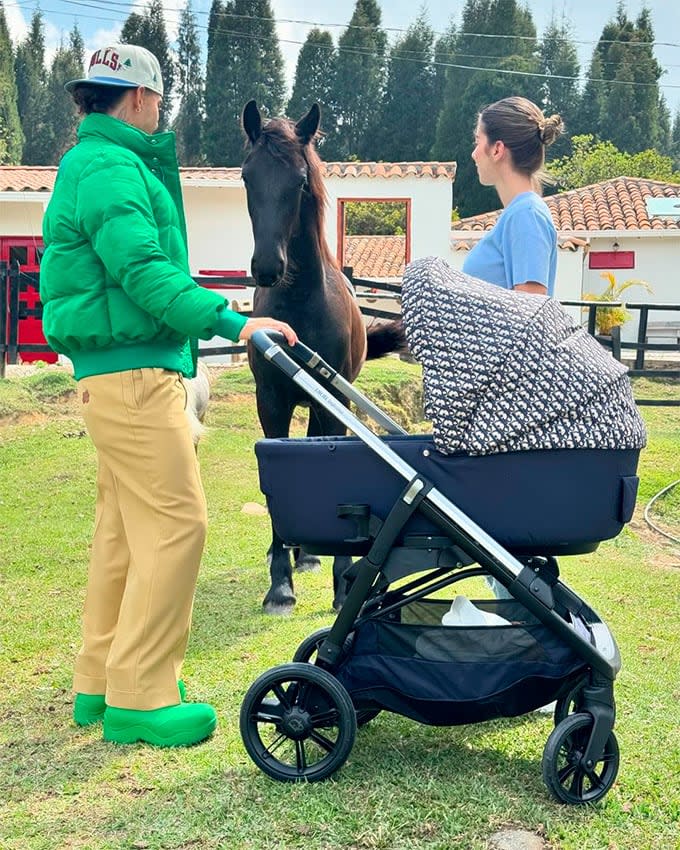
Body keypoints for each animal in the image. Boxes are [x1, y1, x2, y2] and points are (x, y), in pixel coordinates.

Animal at [242, 102, 404, 612]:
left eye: (299, 181)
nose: (267, 268)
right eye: (247, 176)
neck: (300, 306)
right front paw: (279, 585)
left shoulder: (336, 402)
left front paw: (342, 582)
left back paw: (312, 555)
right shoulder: (271, 401)